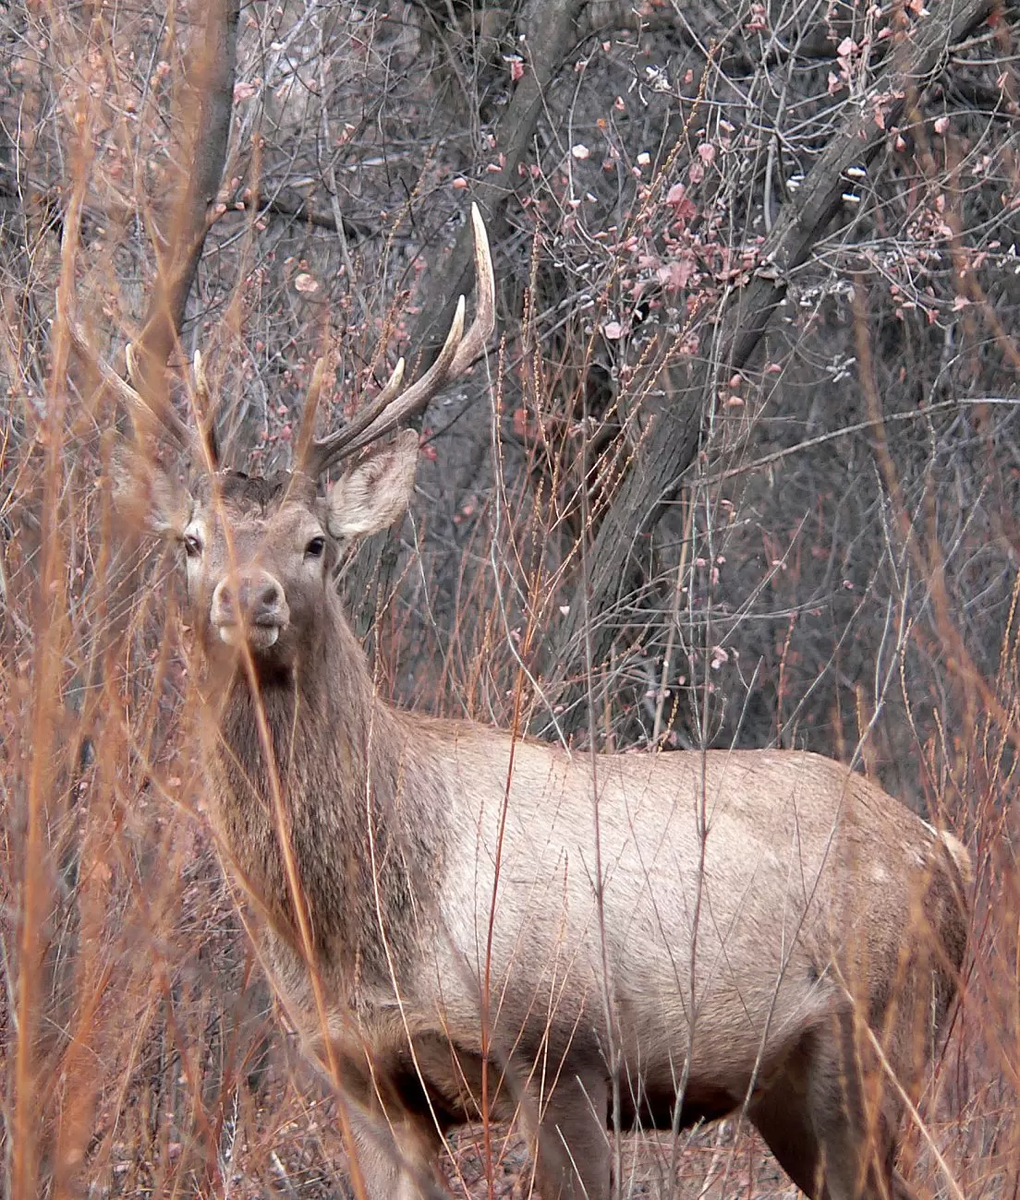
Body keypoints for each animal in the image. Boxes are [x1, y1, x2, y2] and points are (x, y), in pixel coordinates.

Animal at [103, 208, 969, 1200]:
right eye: (191, 540)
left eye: (316, 541)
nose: (249, 599)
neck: (368, 931)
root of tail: (949, 850)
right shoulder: (360, 1075)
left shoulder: (563, 1045)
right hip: (792, 1084)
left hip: (884, 1031)